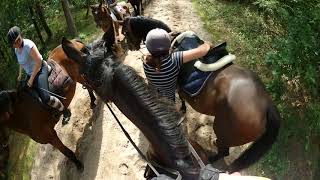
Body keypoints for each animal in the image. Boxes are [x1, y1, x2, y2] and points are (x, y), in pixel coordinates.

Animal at [0, 39, 95, 170]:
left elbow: (66, 151)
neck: (24, 112)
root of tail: (73, 41)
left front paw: (78, 164)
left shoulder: (50, 136)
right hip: (79, 76)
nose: (3, 145)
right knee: (89, 86)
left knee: (90, 85)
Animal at [119, 16, 280, 173]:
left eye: (125, 32)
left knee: (223, 151)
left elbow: (181, 97)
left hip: (222, 131)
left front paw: (183, 109)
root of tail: (267, 104)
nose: (130, 47)